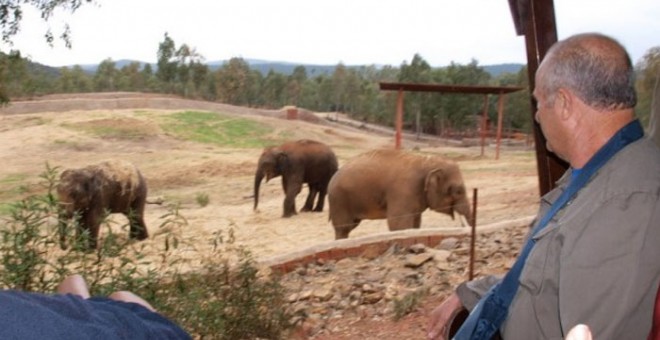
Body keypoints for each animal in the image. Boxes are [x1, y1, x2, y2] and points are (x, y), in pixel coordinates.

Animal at [328, 149, 474, 239]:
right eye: (458, 191)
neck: (426, 162)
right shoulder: (404, 190)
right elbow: (398, 224)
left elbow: (415, 223)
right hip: (339, 200)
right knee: (343, 228)